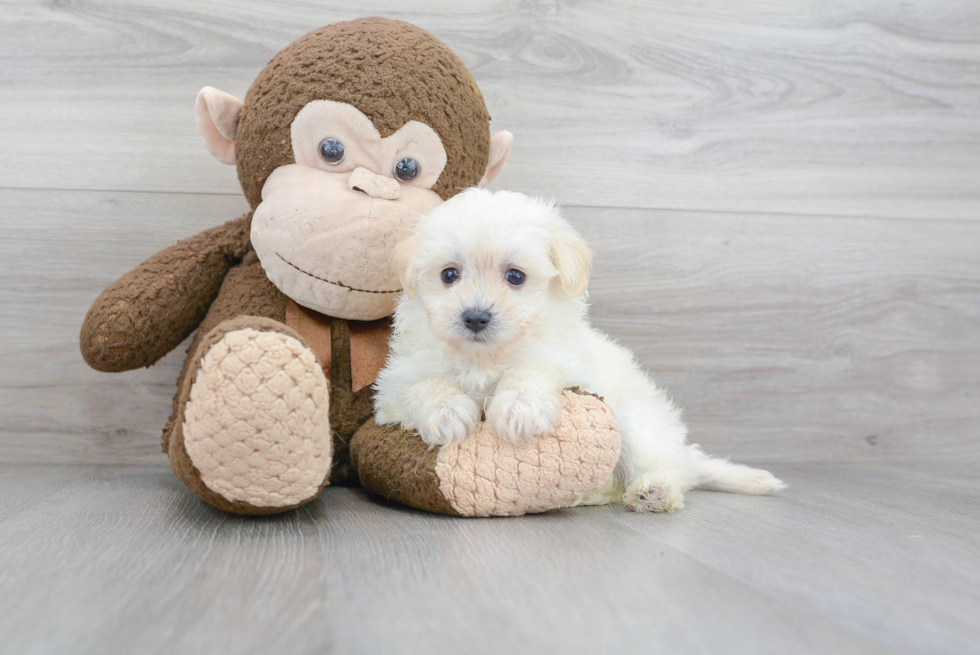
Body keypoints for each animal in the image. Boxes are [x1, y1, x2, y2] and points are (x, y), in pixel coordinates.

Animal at [372, 190, 784, 512]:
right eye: (449, 275)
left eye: (515, 276)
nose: (475, 317)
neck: (485, 356)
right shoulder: (394, 384)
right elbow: (424, 386)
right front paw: (448, 413)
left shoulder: (569, 364)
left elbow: (532, 369)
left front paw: (519, 407)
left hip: (636, 423)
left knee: (668, 470)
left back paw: (653, 491)